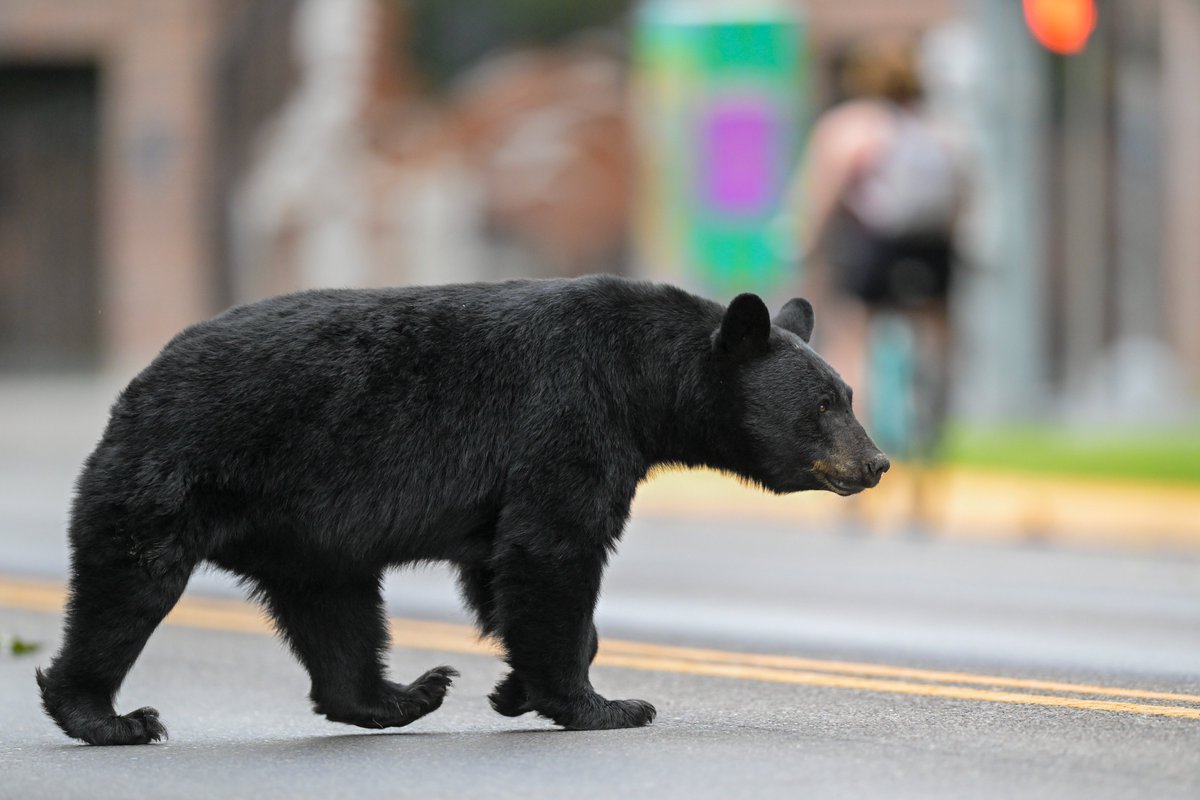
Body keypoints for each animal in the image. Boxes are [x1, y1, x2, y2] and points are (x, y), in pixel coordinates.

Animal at [37, 275, 889, 745]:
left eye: (847, 396)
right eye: (824, 406)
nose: (877, 463)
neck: (642, 380)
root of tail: (138, 382)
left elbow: (500, 567)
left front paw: (517, 688)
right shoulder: (568, 415)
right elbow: (553, 548)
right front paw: (606, 704)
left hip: (305, 530)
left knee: (336, 612)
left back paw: (403, 694)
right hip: (178, 473)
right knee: (126, 588)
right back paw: (107, 717)